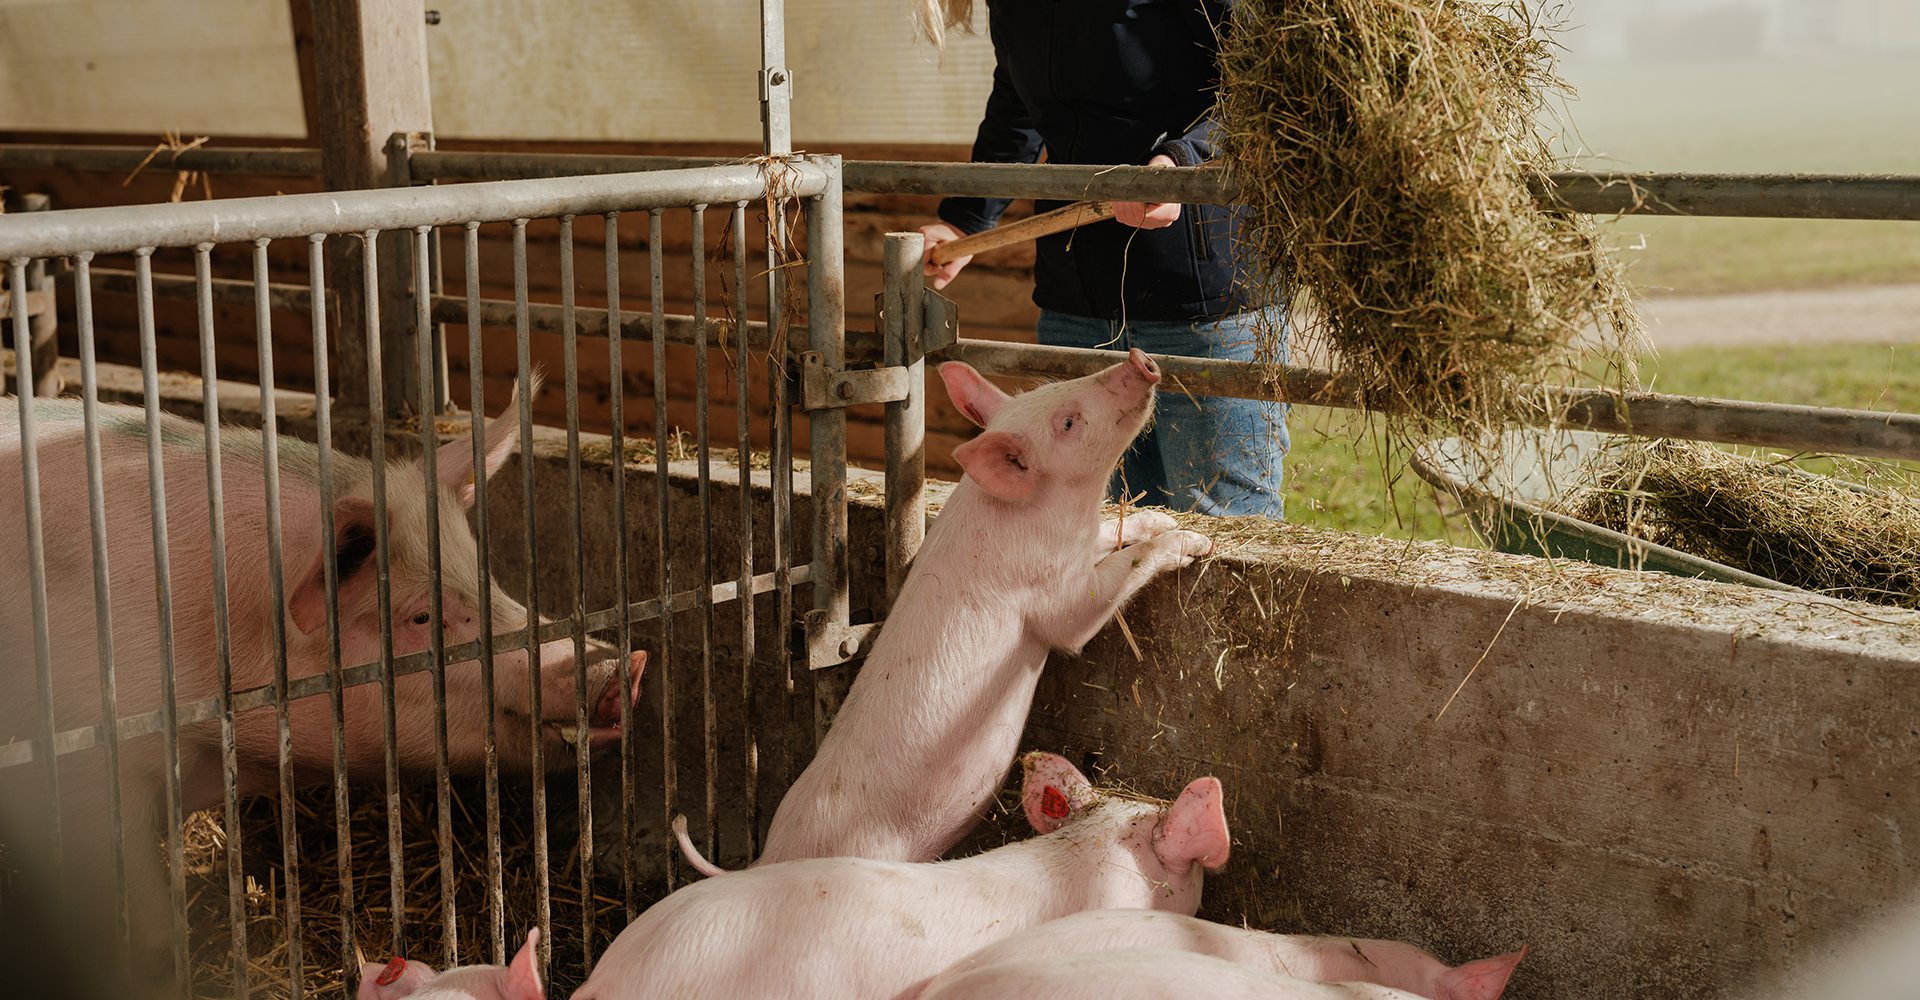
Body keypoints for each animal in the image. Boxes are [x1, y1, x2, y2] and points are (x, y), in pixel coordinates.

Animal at [756, 348, 1213, 866]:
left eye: (1051, 388)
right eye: (1068, 422)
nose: (1138, 359)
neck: (1053, 517)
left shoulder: (1078, 545)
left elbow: (1116, 533)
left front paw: (1159, 519)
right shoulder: (1056, 594)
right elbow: (1089, 607)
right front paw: (1197, 541)